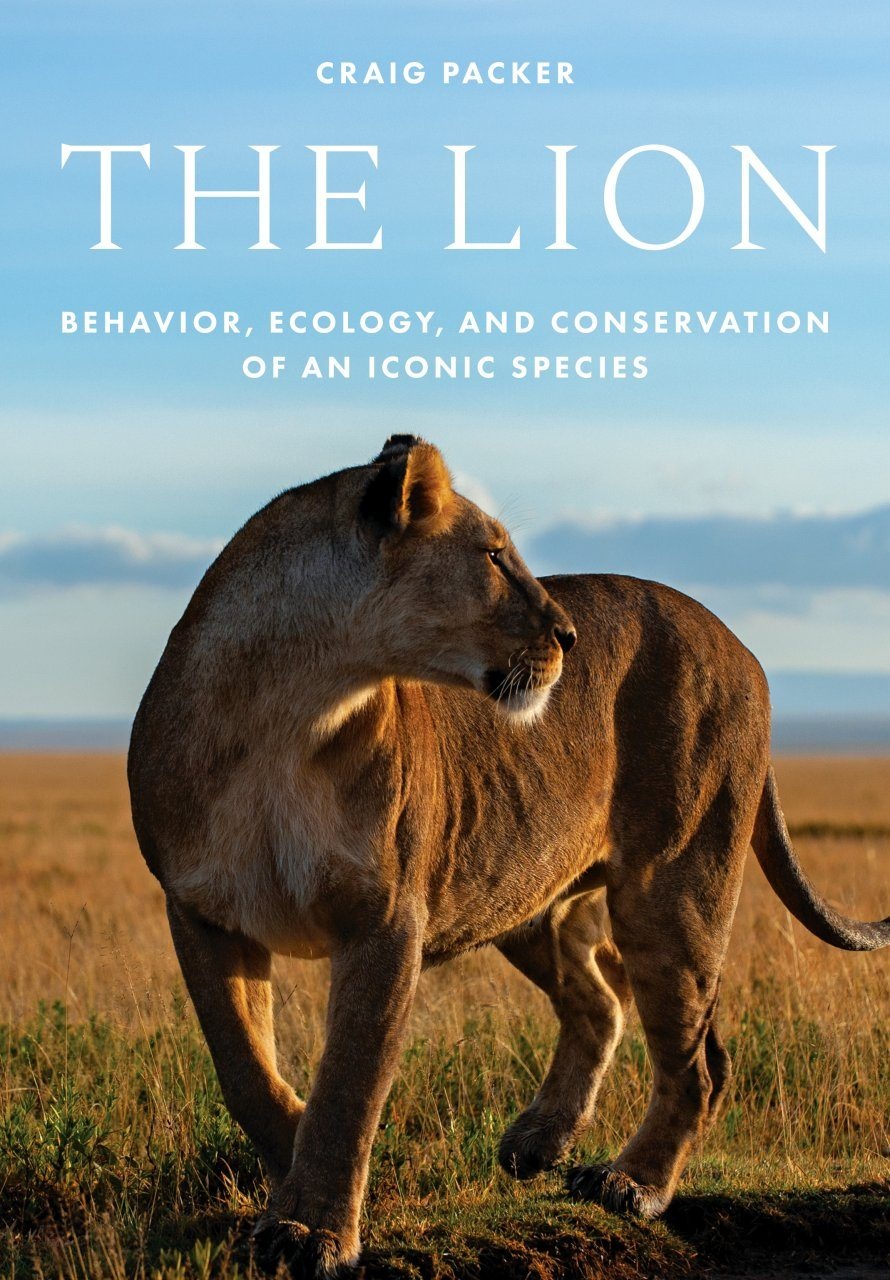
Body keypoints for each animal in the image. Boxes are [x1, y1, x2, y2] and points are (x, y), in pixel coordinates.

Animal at [128, 435, 889, 1277]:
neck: (291, 712)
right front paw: (294, 1173)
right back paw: (540, 1142)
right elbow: (246, 1071)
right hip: (522, 896)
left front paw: (314, 1228)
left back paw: (632, 1184)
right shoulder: (201, 910)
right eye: (493, 555)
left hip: (673, 885)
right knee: (601, 999)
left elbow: (351, 1081)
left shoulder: (386, 920)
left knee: (696, 1061)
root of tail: (743, 647)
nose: (570, 637)